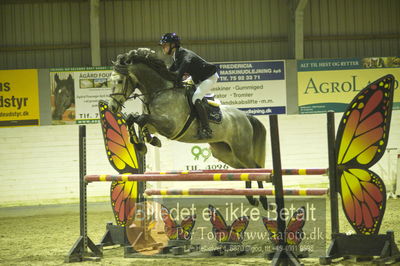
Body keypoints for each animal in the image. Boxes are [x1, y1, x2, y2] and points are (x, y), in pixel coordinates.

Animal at [108, 48, 268, 209]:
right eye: (109, 82)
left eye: (120, 81)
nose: (112, 107)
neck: (159, 91)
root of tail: (244, 116)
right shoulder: (155, 125)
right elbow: (134, 119)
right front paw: (144, 143)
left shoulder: (170, 126)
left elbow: (141, 119)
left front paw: (144, 143)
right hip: (224, 152)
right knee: (245, 169)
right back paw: (252, 198)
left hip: (241, 149)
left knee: (255, 168)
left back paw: (264, 200)